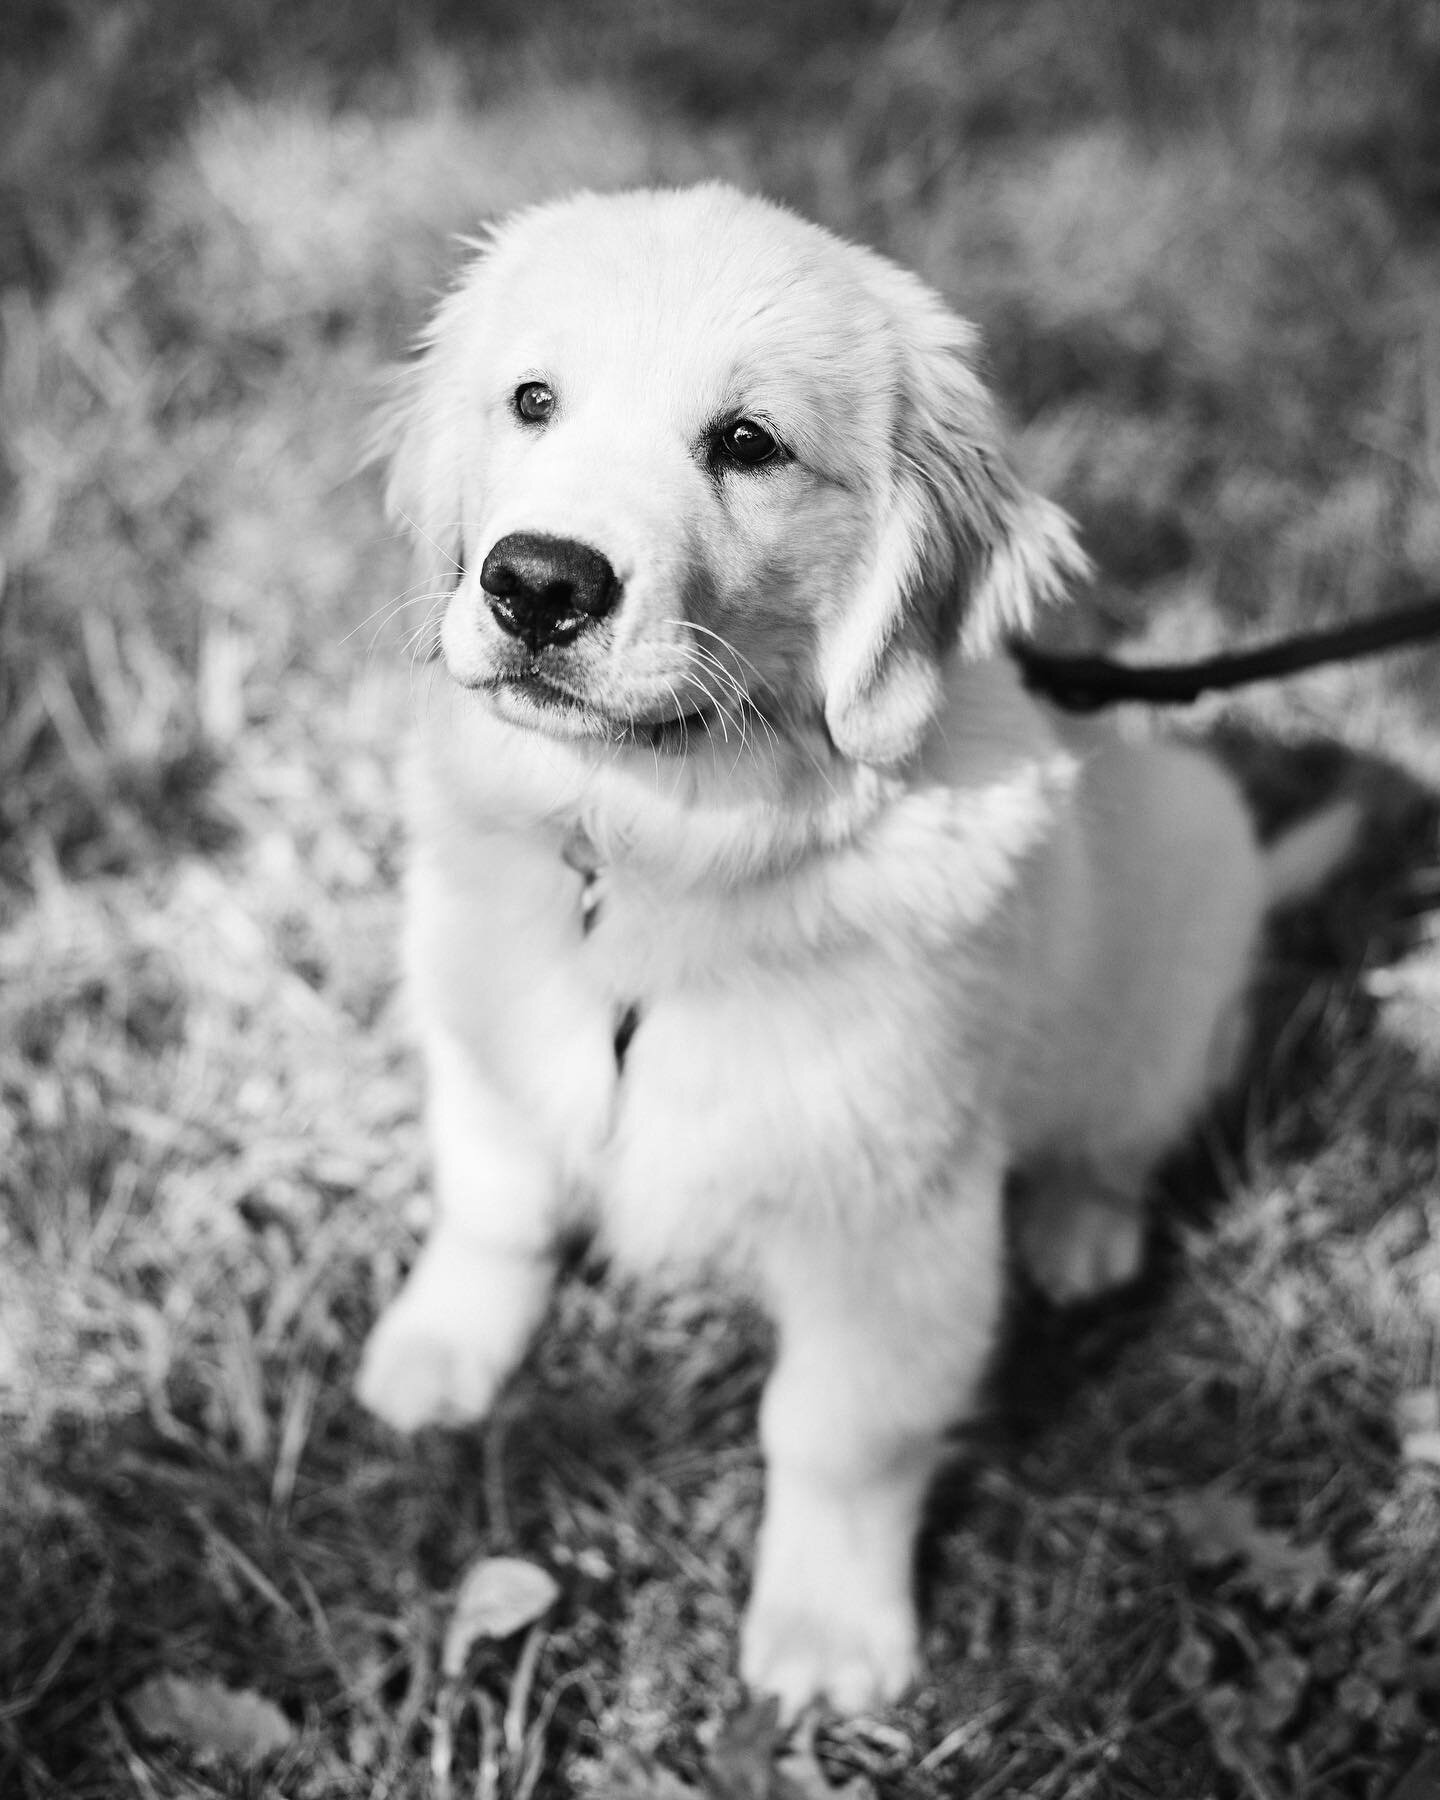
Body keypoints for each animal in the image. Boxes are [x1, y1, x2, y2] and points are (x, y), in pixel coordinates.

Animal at [356, 182, 1353, 1713]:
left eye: (746, 444)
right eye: (531, 401)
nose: (535, 584)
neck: (657, 849)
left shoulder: (894, 1220)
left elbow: (839, 1434)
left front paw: (828, 1633)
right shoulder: (491, 1034)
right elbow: (495, 1205)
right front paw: (438, 1350)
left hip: (1185, 892)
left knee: (1121, 1136)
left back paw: (1080, 1231)